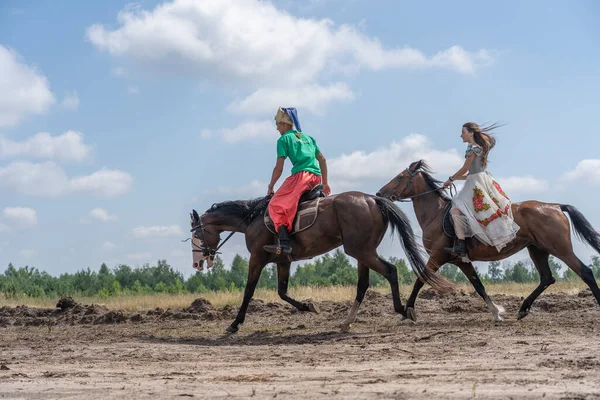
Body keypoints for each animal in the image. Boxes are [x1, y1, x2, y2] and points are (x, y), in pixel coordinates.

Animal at [190, 190, 452, 332]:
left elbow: (248, 291)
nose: (198, 263)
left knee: (390, 271)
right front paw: (308, 306)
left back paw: (403, 309)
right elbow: (282, 292)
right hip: (363, 252)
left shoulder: (256, 259)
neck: (251, 218)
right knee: (364, 284)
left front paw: (235, 323)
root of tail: (372, 199)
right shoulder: (283, 261)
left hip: (361, 251)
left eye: (196, 233)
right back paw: (347, 322)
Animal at [378, 160, 600, 322]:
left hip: (560, 248)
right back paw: (523, 309)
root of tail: (555, 206)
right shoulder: (461, 261)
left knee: (585, 272)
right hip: (537, 249)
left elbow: (420, 279)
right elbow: (479, 286)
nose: (380, 193)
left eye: (400, 177)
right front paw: (496, 312)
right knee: (547, 278)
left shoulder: (438, 256)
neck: (436, 214)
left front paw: (408, 312)